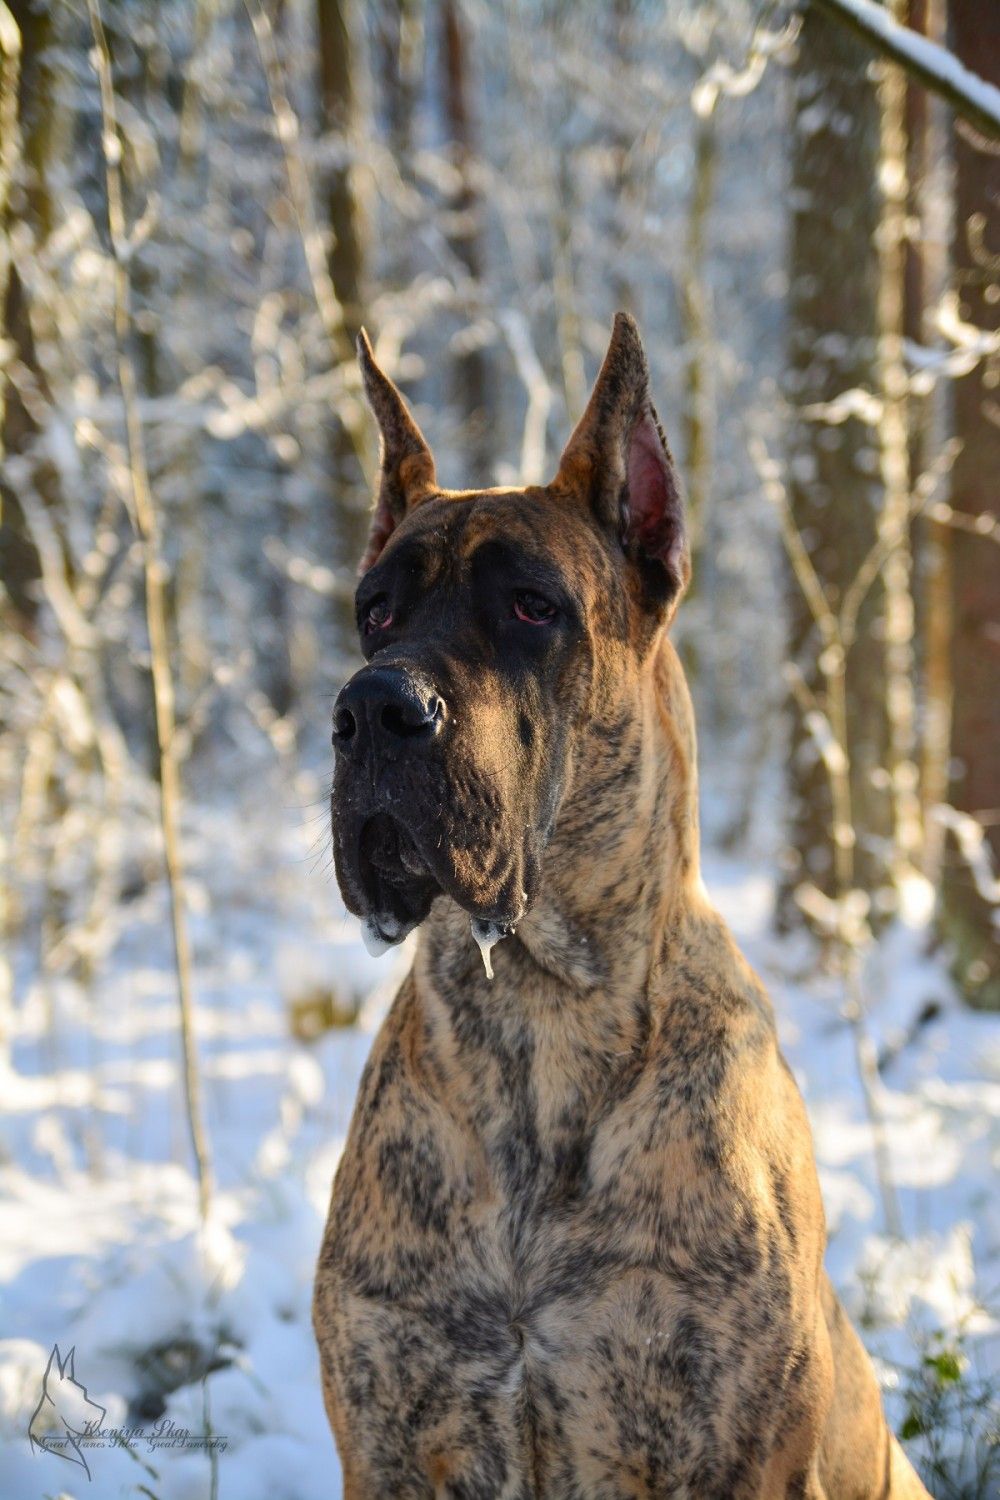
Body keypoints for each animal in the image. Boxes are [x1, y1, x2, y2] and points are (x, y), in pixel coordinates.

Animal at [314, 314, 930, 1498]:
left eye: (531, 606)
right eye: (375, 612)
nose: (371, 707)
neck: (540, 1013)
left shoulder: (738, 1443)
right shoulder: (389, 1432)